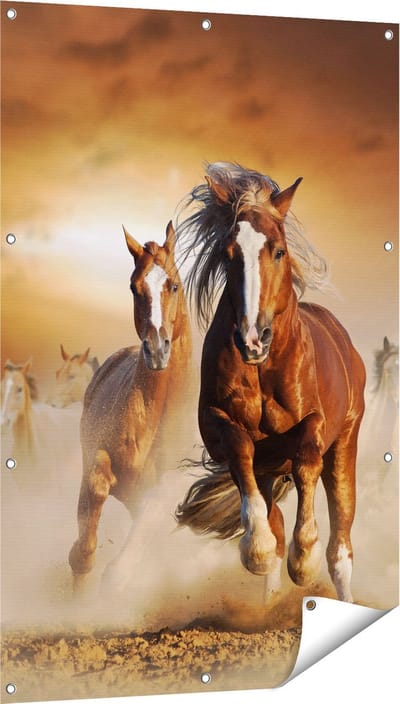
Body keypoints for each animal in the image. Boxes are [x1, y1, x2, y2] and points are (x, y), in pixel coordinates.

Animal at [68, 221, 193, 591]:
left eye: (174, 284)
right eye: (134, 288)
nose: (156, 349)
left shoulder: (160, 492)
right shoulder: (98, 459)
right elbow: (95, 489)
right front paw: (81, 564)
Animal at [175, 162, 366, 603]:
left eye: (278, 250)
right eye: (228, 255)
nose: (252, 338)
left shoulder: (315, 424)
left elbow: (307, 458)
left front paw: (304, 558)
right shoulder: (218, 424)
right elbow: (240, 451)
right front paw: (257, 549)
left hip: (345, 445)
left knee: (341, 545)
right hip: (269, 471)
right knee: (273, 514)